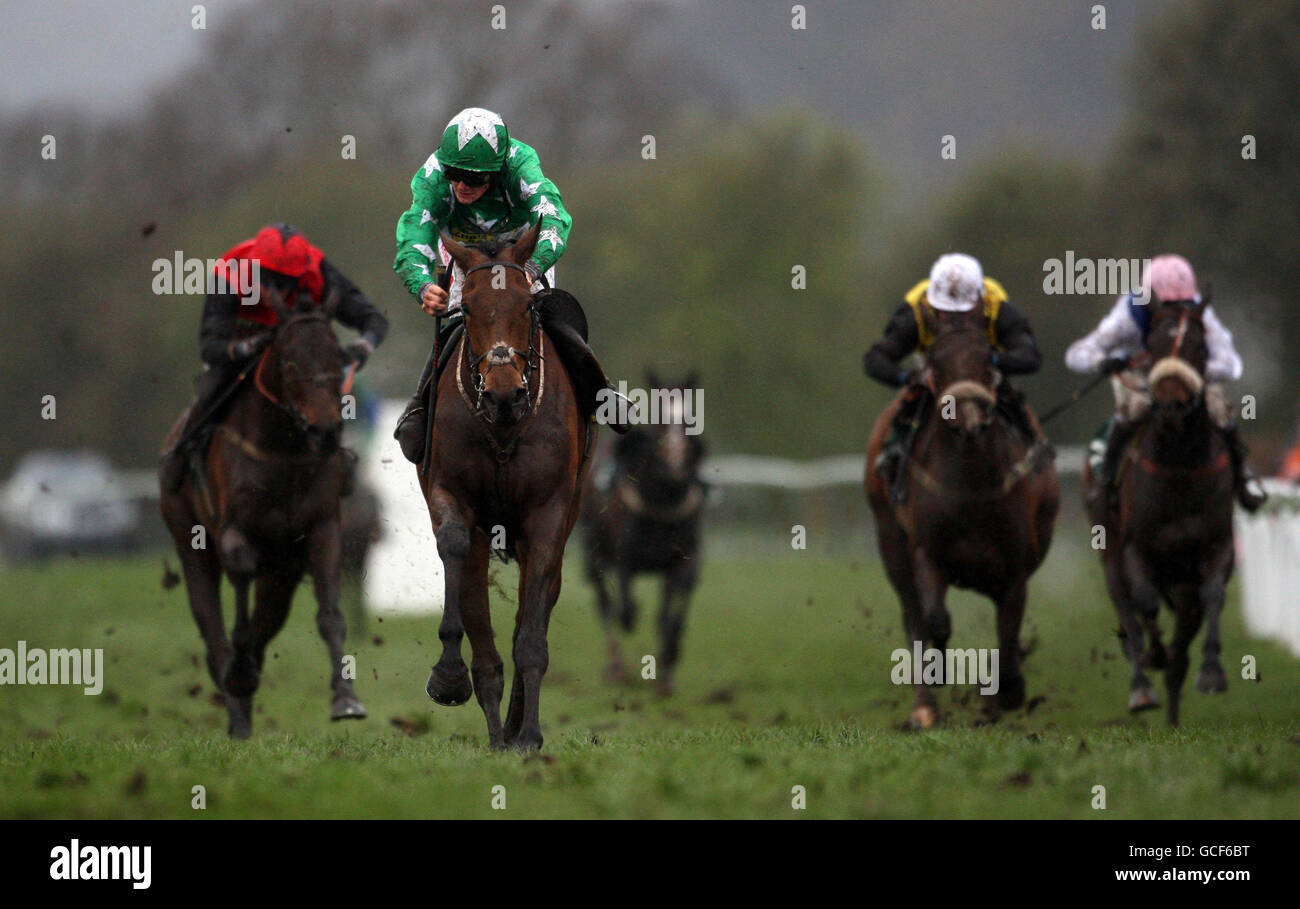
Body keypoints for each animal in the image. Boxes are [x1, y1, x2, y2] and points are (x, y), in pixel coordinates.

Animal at [162, 291, 369, 738]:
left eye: (337, 356)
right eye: (289, 361)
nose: (326, 430)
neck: (282, 448)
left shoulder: (322, 530)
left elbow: (330, 614)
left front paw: (345, 697)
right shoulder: (234, 529)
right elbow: (240, 577)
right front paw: (239, 675)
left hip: (282, 572)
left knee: (265, 623)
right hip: (188, 539)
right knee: (212, 627)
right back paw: (236, 706)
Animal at [421, 222, 590, 754]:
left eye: (526, 306)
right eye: (469, 309)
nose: (502, 394)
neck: (502, 427)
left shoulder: (547, 514)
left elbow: (531, 633)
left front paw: (529, 734)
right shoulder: (453, 495)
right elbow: (456, 550)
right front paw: (450, 676)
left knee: (539, 602)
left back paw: (518, 727)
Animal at [582, 374, 707, 691]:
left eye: (690, 418)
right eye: (660, 419)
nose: (675, 463)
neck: (663, 499)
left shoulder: (681, 560)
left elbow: (670, 616)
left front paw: (667, 669)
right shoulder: (625, 557)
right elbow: (625, 609)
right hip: (592, 547)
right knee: (604, 602)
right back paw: (616, 667)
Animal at [863, 309, 1055, 728]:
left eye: (986, 359)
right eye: (936, 361)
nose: (969, 421)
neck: (970, 483)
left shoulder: (1014, 565)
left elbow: (1009, 627)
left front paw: (1009, 689)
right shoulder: (927, 551)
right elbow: (934, 619)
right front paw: (939, 675)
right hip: (890, 541)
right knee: (914, 616)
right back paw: (924, 708)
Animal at [1081, 299, 1232, 723]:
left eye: (1200, 345)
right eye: (1154, 345)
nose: (1171, 404)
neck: (1178, 463)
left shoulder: (1217, 545)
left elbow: (1213, 594)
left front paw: (1211, 672)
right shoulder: (1136, 547)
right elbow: (1144, 602)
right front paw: (1153, 654)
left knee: (1182, 636)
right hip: (1109, 555)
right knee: (1127, 610)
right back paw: (1142, 687)